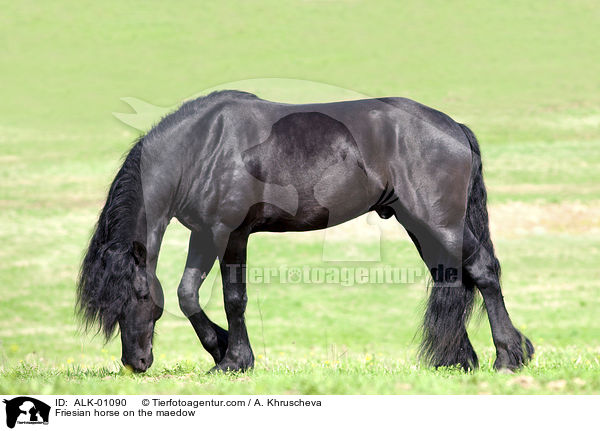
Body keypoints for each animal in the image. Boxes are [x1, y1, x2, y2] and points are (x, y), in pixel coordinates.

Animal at [76, 91, 536, 374]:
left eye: (136, 297)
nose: (135, 363)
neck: (203, 147)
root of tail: (453, 127)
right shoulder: (213, 235)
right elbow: (202, 295)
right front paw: (226, 353)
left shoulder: (223, 234)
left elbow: (218, 297)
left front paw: (229, 357)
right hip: (421, 226)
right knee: (455, 276)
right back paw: (460, 359)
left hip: (440, 222)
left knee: (483, 271)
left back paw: (509, 358)